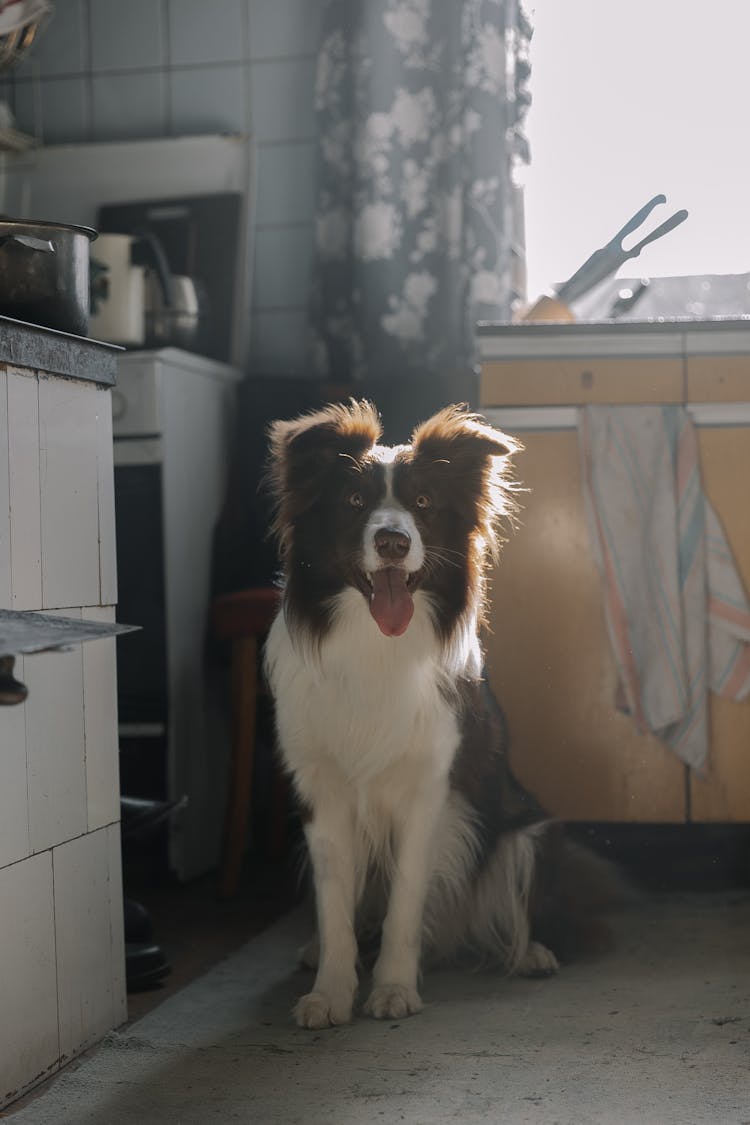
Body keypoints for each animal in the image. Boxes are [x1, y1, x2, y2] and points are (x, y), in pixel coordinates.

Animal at [266, 402, 620, 1030]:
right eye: (354, 501)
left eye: (424, 502)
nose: (391, 540)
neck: (373, 645)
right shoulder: (321, 791)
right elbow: (334, 907)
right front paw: (331, 992)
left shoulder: (427, 790)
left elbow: (407, 899)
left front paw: (392, 988)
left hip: (530, 832)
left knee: (525, 908)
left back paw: (533, 952)